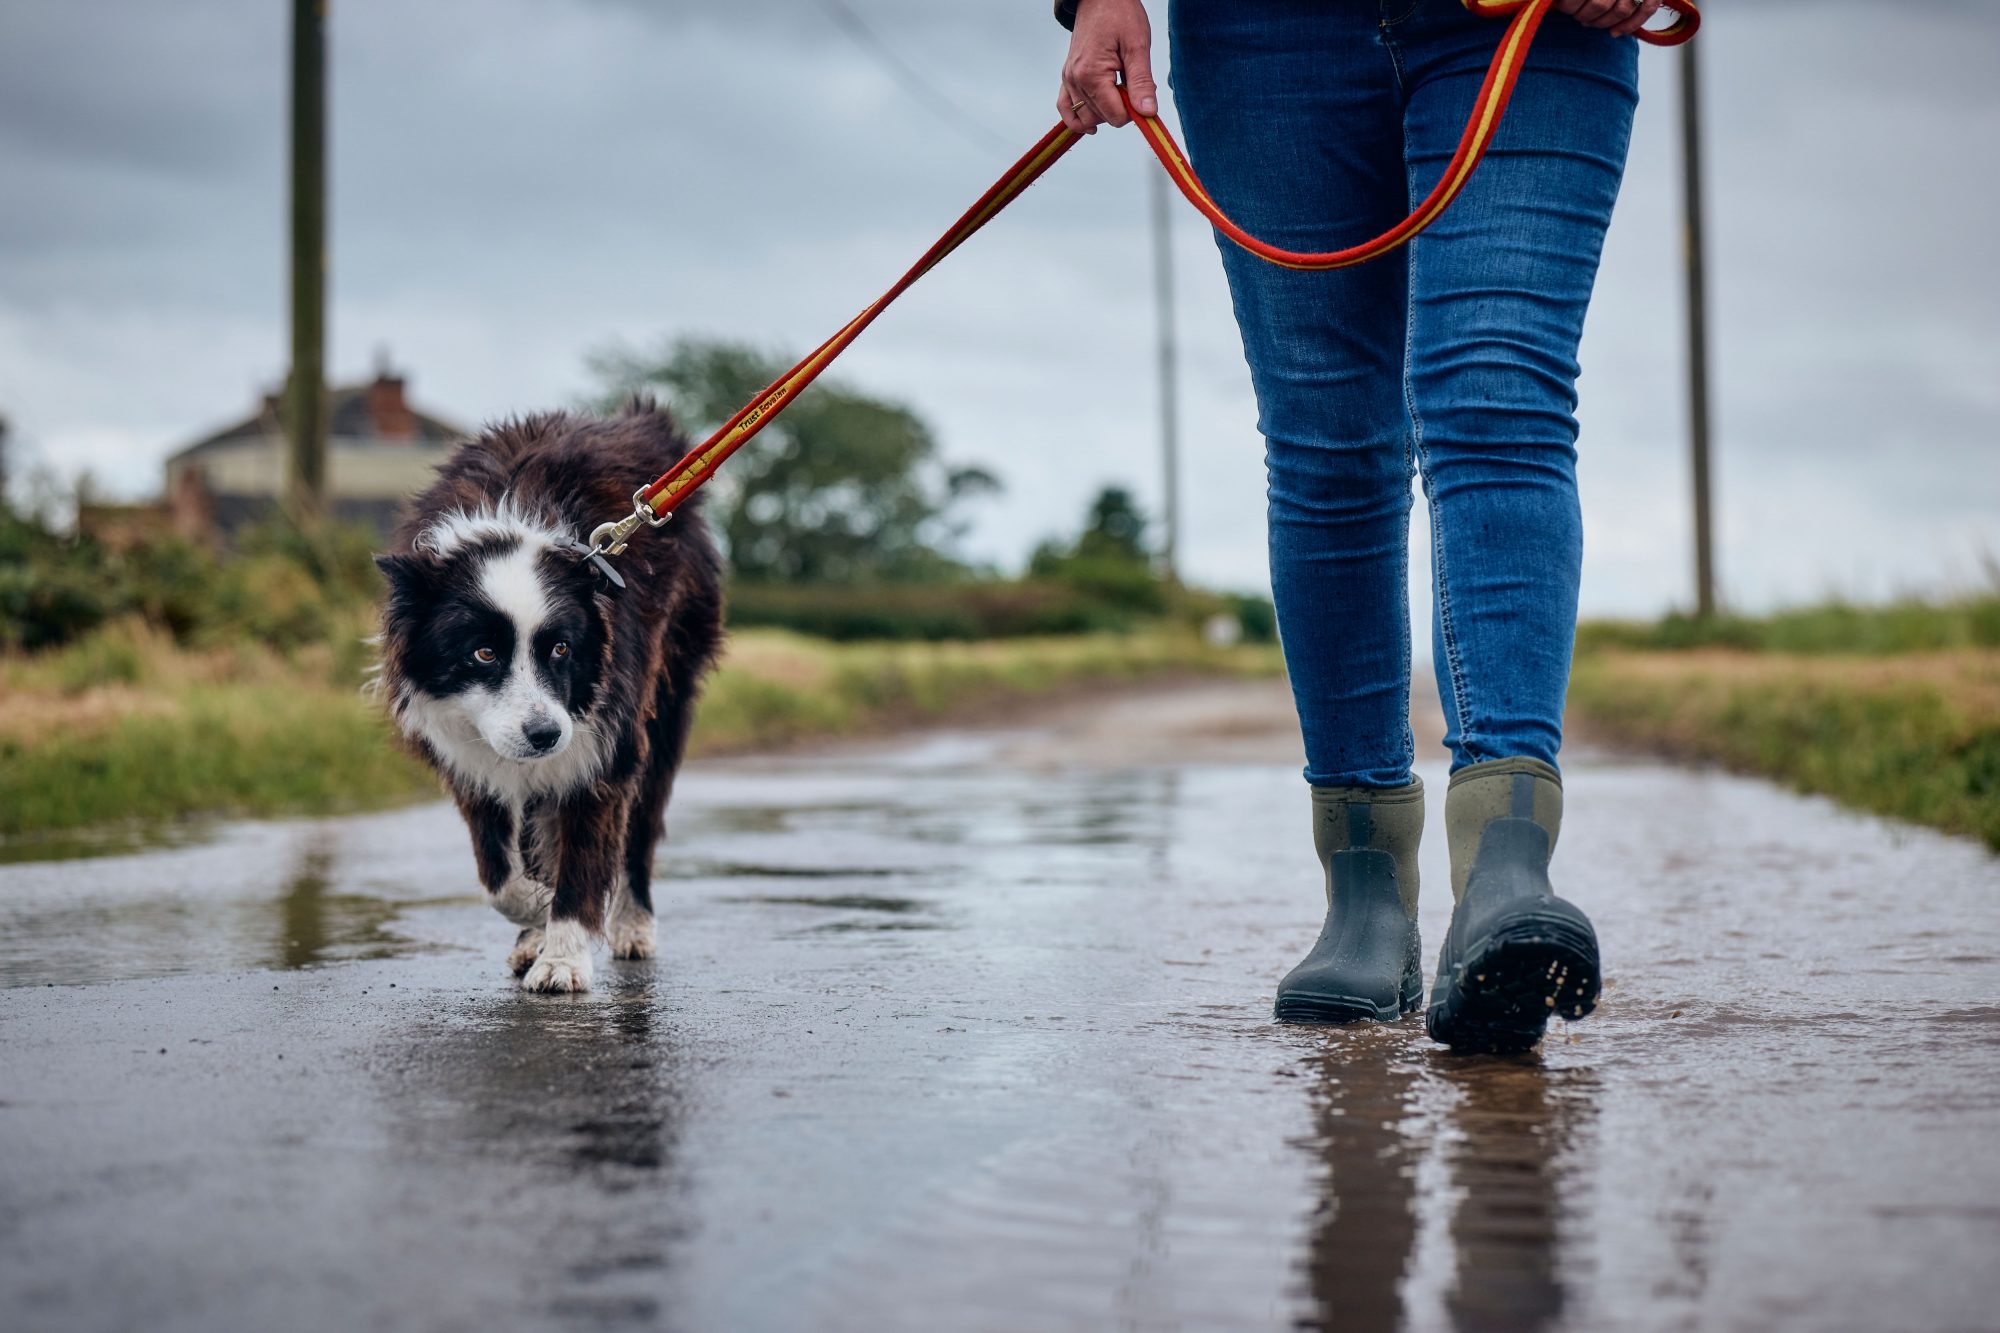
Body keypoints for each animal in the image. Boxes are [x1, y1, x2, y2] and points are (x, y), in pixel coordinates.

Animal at [372, 402, 724, 984]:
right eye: (483, 653)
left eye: (560, 648)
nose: (544, 734)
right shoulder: (469, 749)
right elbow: (497, 872)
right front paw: (537, 911)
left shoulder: (602, 742)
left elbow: (582, 856)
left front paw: (562, 960)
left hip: (667, 696)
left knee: (641, 827)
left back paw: (632, 925)